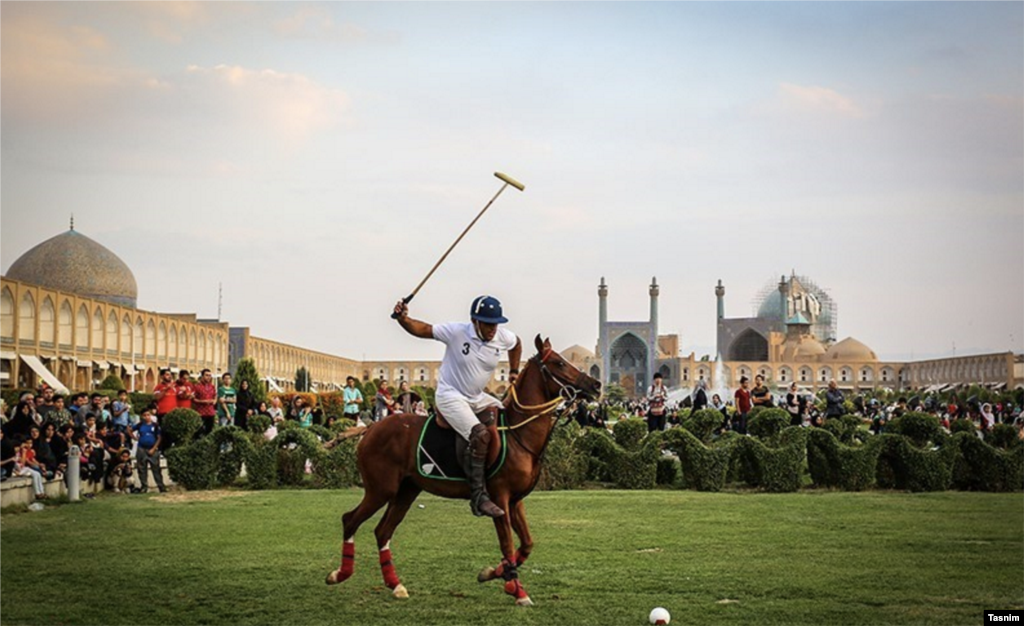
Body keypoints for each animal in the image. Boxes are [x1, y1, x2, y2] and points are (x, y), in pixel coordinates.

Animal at [325, 336, 598, 606]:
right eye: (559, 363)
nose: (595, 384)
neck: (518, 433)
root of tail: (370, 428)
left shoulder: (515, 499)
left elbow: (527, 544)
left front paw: (494, 573)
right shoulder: (499, 497)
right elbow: (507, 543)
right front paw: (517, 589)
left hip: (407, 489)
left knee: (383, 530)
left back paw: (395, 584)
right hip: (380, 488)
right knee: (350, 519)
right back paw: (340, 573)